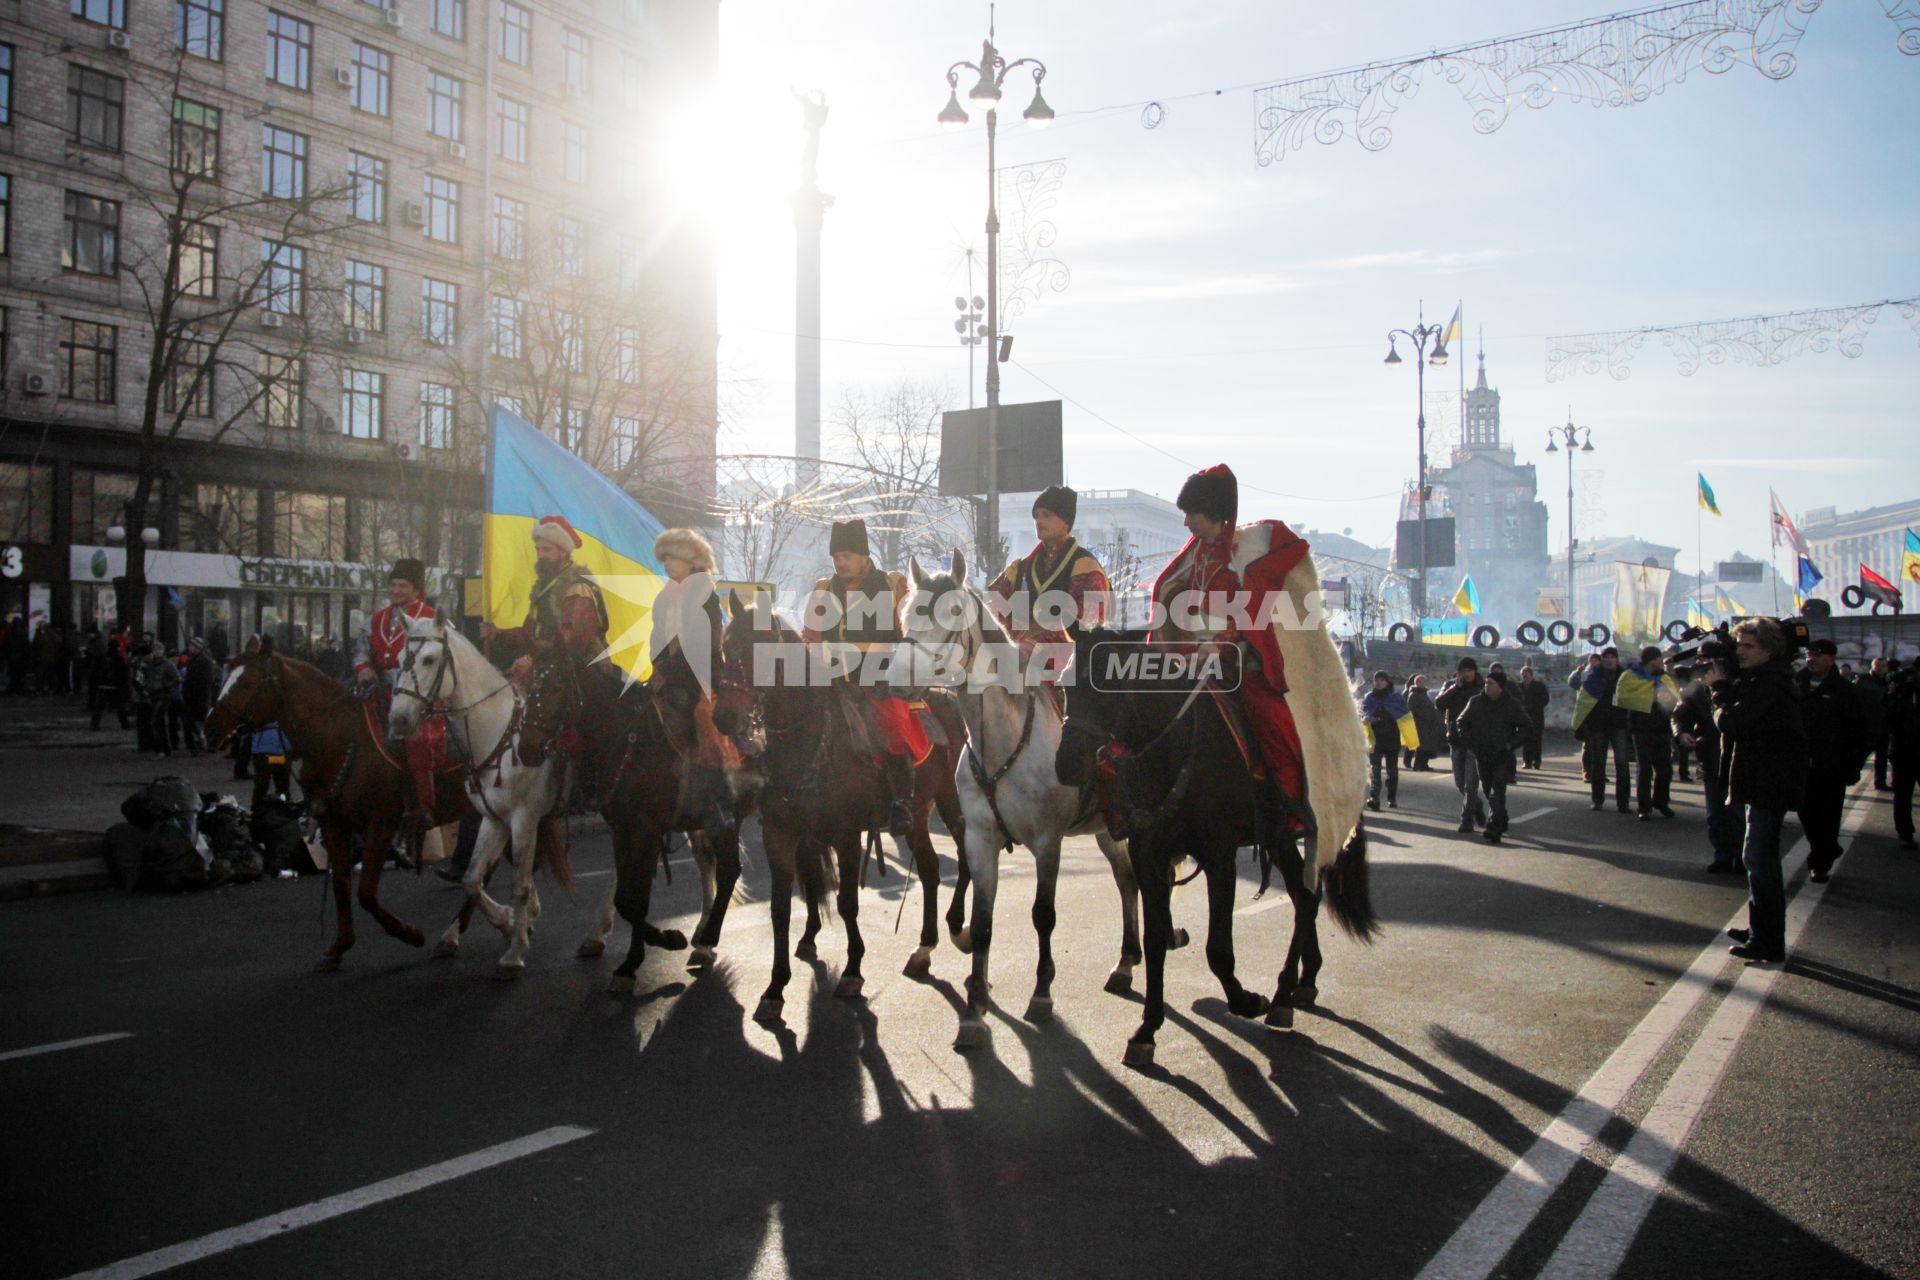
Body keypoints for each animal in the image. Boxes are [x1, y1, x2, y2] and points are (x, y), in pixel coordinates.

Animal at [203, 640, 476, 971]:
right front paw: (339, 946)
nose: (210, 729)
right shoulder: (334, 823)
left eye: (245, 683)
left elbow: (366, 892)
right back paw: (456, 931)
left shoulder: (382, 822)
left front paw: (410, 933)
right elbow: (342, 885)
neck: (338, 739)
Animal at [389, 617, 564, 982]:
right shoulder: (494, 819)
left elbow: (519, 883)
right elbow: (472, 879)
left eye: (429, 659)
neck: (499, 735)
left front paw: (514, 951)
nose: (397, 720)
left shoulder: (524, 819)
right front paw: (509, 922)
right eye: (398, 659)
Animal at [714, 594, 967, 1028]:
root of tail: (945, 696)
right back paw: (923, 949)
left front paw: (852, 972)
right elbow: (782, 909)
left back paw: (960, 928)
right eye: (727, 649)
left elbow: (848, 902)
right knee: (931, 868)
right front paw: (774, 989)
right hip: (918, 812)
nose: (724, 717)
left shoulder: (846, 834)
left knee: (966, 851)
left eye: (757, 651)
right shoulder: (781, 834)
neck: (808, 739)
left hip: (948, 796)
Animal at [898, 552, 1167, 1051]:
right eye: (907, 614)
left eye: (954, 612)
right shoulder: (980, 840)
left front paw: (1041, 994)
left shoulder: (1047, 841)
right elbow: (983, 923)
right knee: (1126, 883)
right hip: (1108, 830)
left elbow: (1043, 915)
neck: (1003, 742)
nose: (897, 675)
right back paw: (1125, 962)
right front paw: (974, 1012)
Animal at [1052, 545, 1382, 1066]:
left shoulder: (1220, 854)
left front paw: (1245, 999)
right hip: (1280, 838)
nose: (1067, 764)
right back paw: (1304, 981)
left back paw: (1283, 994)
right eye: (1066, 684)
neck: (1172, 751)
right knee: (1304, 897)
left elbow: (1217, 948)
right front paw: (1147, 1027)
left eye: (1108, 687)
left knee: (1306, 899)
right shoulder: (1148, 853)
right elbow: (1155, 938)